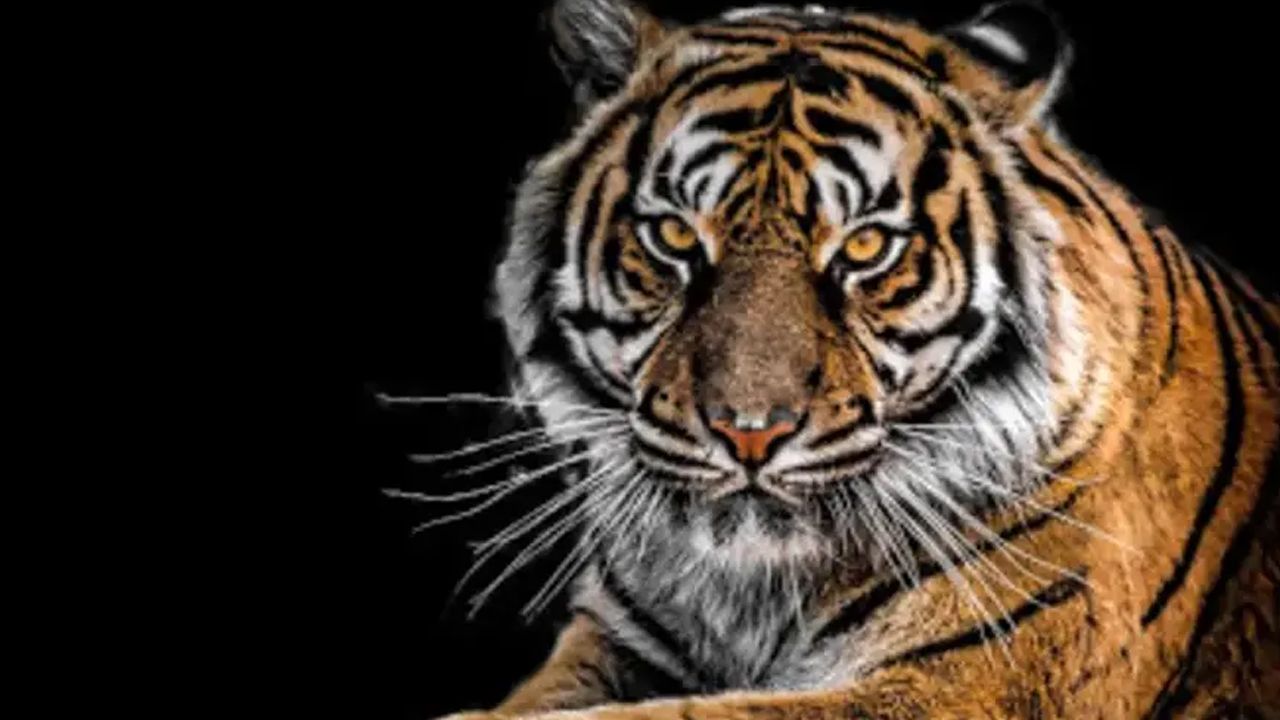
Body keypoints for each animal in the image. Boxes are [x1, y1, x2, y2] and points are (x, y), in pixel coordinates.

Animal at [436, 1, 1280, 717]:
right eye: (674, 236)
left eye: (868, 246)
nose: (749, 432)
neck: (751, 591)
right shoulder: (614, 641)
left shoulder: (967, 682)